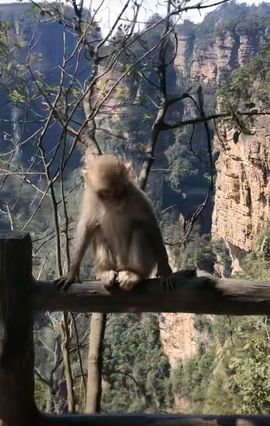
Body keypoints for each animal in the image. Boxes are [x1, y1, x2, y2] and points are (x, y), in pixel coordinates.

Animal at [56, 155, 173, 292]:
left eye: (118, 190)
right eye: (106, 193)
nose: (114, 200)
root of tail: (121, 266)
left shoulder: (135, 194)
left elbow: (150, 223)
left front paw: (165, 270)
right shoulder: (91, 198)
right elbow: (87, 228)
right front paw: (72, 273)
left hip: (139, 262)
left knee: (140, 229)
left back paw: (134, 274)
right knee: (99, 231)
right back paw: (106, 272)